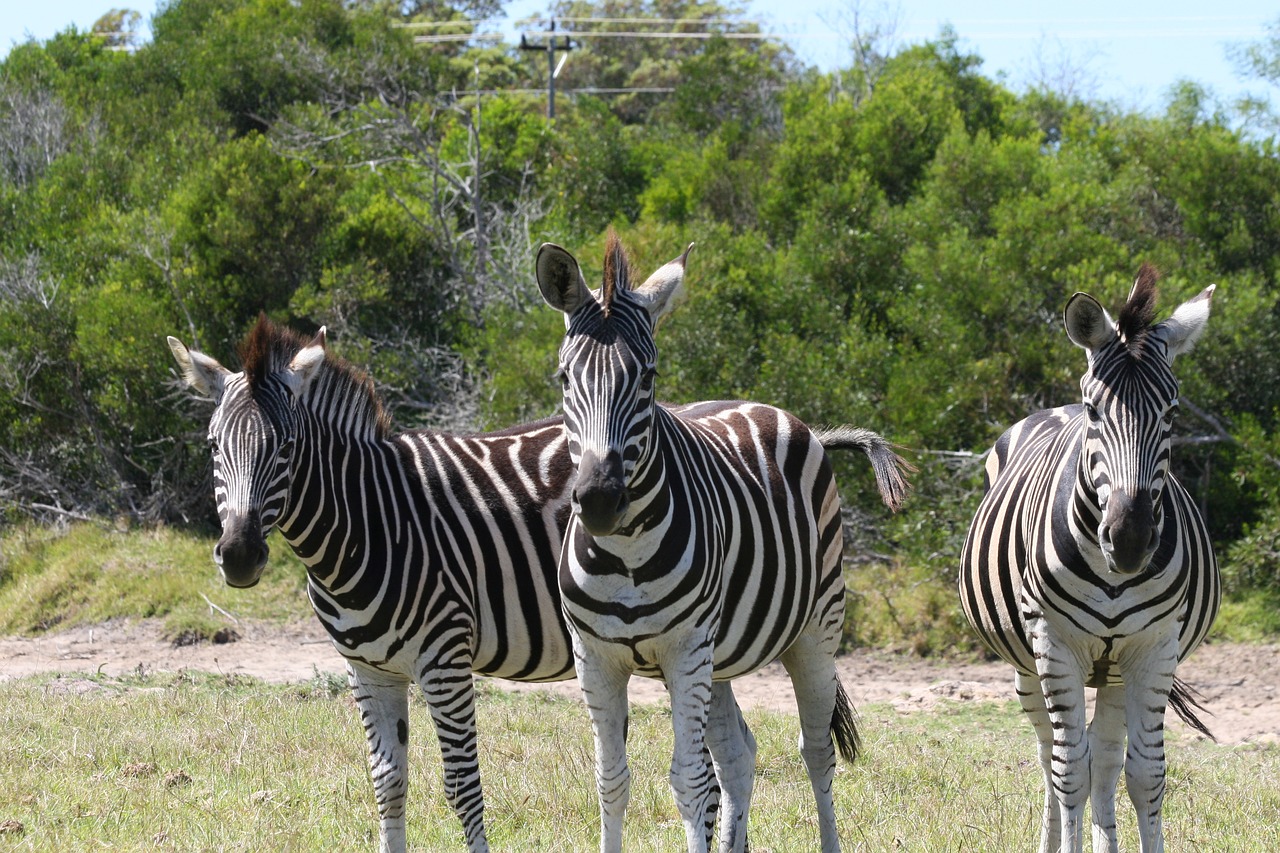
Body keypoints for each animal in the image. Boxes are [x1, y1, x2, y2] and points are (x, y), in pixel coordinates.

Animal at [532, 233, 911, 850]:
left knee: (816, 751)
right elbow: (611, 779)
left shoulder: (686, 650)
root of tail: (785, 414)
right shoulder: (597, 658)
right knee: (738, 754)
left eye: (648, 377)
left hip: (815, 629)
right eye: (566, 379)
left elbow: (688, 780)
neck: (626, 554)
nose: (601, 501)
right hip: (722, 657)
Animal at [962, 266, 1218, 850]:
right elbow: (1067, 772)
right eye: (1096, 411)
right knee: (1050, 757)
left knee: (1104, 760)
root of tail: (1054, 406)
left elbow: (1145, 774)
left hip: (1115, 670)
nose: (1129, 539)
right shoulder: (1054, 645)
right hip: (1028, 663)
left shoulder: (1153, 648)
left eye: (1172, 413)